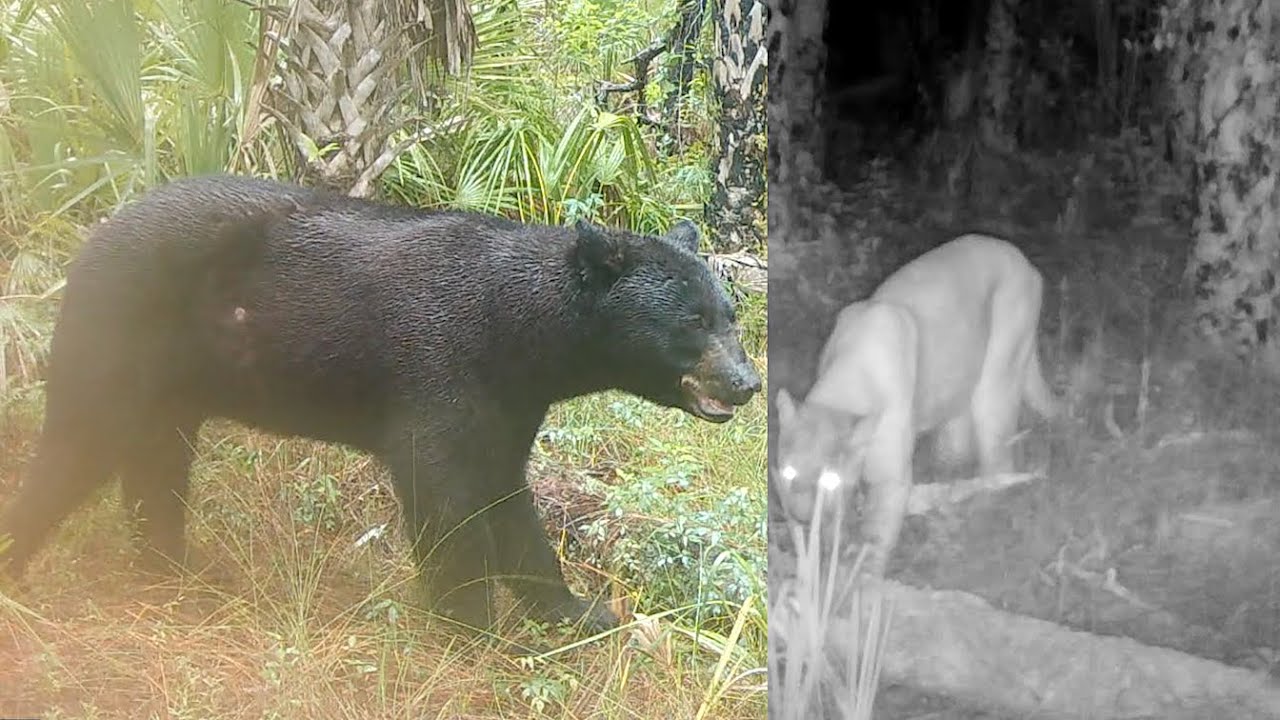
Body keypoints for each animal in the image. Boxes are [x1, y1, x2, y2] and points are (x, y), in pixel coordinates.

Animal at [0, 174, 761, 634]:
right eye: (692, 321)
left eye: (730, 316)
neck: (517, 332)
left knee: (157, 464)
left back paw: (173, 569)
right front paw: (472, 626)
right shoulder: (438, 362)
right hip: (118, 336)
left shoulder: (509, 401)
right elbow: (445, 499)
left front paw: (577, 611)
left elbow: (507, 496)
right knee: (76, 445)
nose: (745, 382)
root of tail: (93, 236)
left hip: (174, 387)